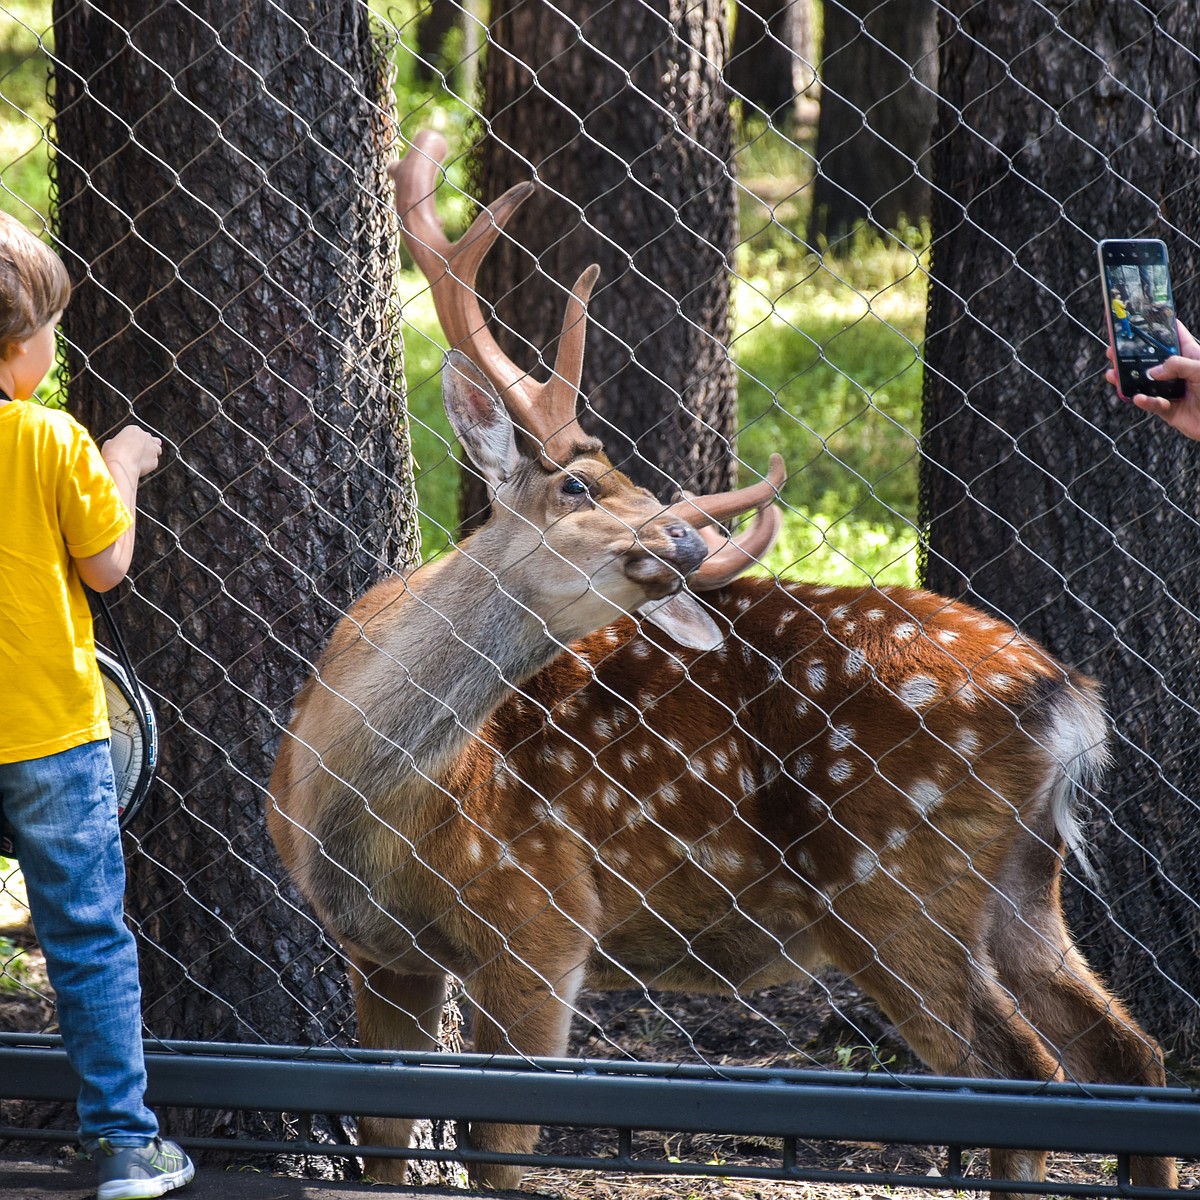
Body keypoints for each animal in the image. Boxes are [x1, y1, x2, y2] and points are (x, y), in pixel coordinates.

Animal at [267, 129, 1176, 1190]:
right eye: (577, 485)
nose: (687, 544)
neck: (356, 810)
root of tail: (1067, 698)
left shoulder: (540, 916)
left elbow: (500, 1151)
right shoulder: (381, 955)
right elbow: (381, 1139)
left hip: (895, 878)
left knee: (1021, 1071)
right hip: (1023, 882)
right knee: (1127, 1053)